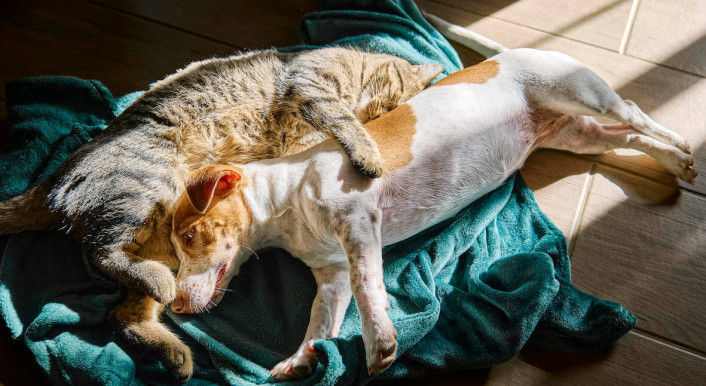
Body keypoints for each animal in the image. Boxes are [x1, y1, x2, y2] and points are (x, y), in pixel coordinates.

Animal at [0, 47, 440, 380]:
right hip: (150, 185)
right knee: (102, 252)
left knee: (123, 313)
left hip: (165, 247)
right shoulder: (310, 83)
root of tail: (54, 178)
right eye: (388, 107)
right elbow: (339, 118)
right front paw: (367, 151)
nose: (376, 120)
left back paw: (174, 349)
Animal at [166, 46, 692, 378]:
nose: (173, 307)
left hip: (582, 95)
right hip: (576, 134)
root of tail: (526, 50)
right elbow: (321, 321)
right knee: (626, 137)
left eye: (189, 237)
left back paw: (684, 146)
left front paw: (380, 343)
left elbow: (369, 286)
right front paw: (301, 361)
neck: (287, 200)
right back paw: (673, 162)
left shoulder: (358, 222)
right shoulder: (331, 276)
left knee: (635, 111)